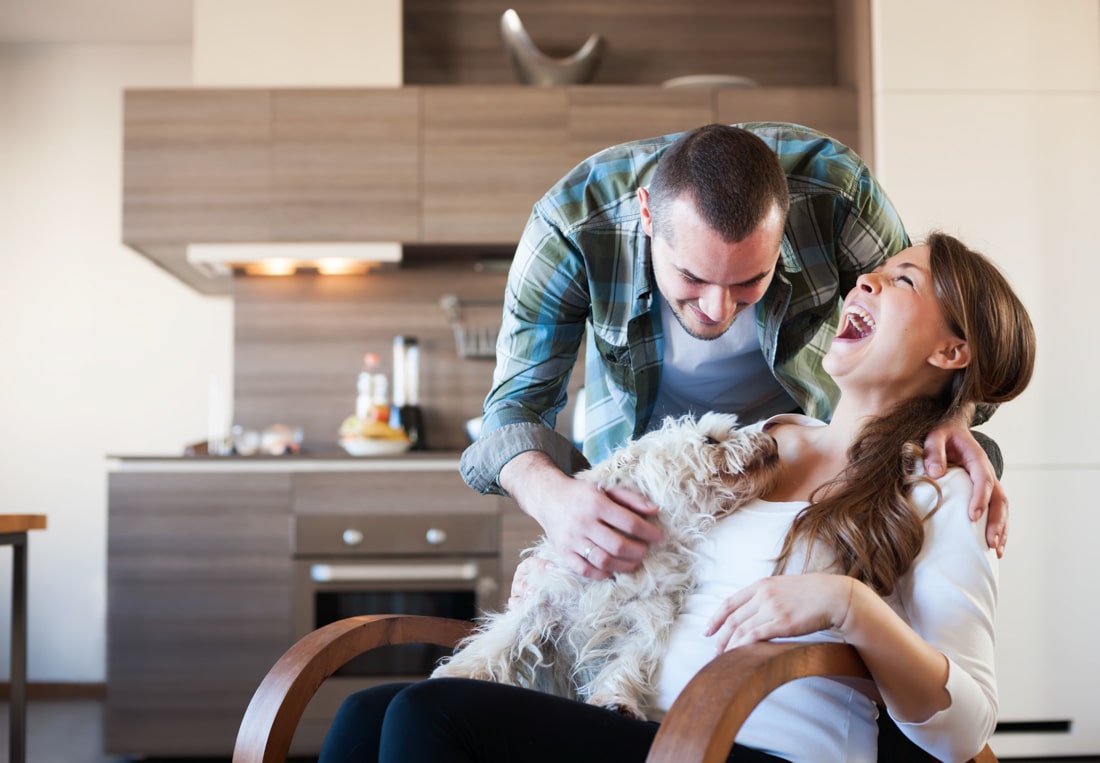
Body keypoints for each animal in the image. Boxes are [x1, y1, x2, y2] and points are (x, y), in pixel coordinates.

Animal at [429, 415, 783, 721]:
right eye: (710, 439)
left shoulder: (645, 622)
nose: (772, 440)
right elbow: (499, 641)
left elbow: (627, 665)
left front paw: (616, 702)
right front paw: (458, 672)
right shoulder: (543, 601)